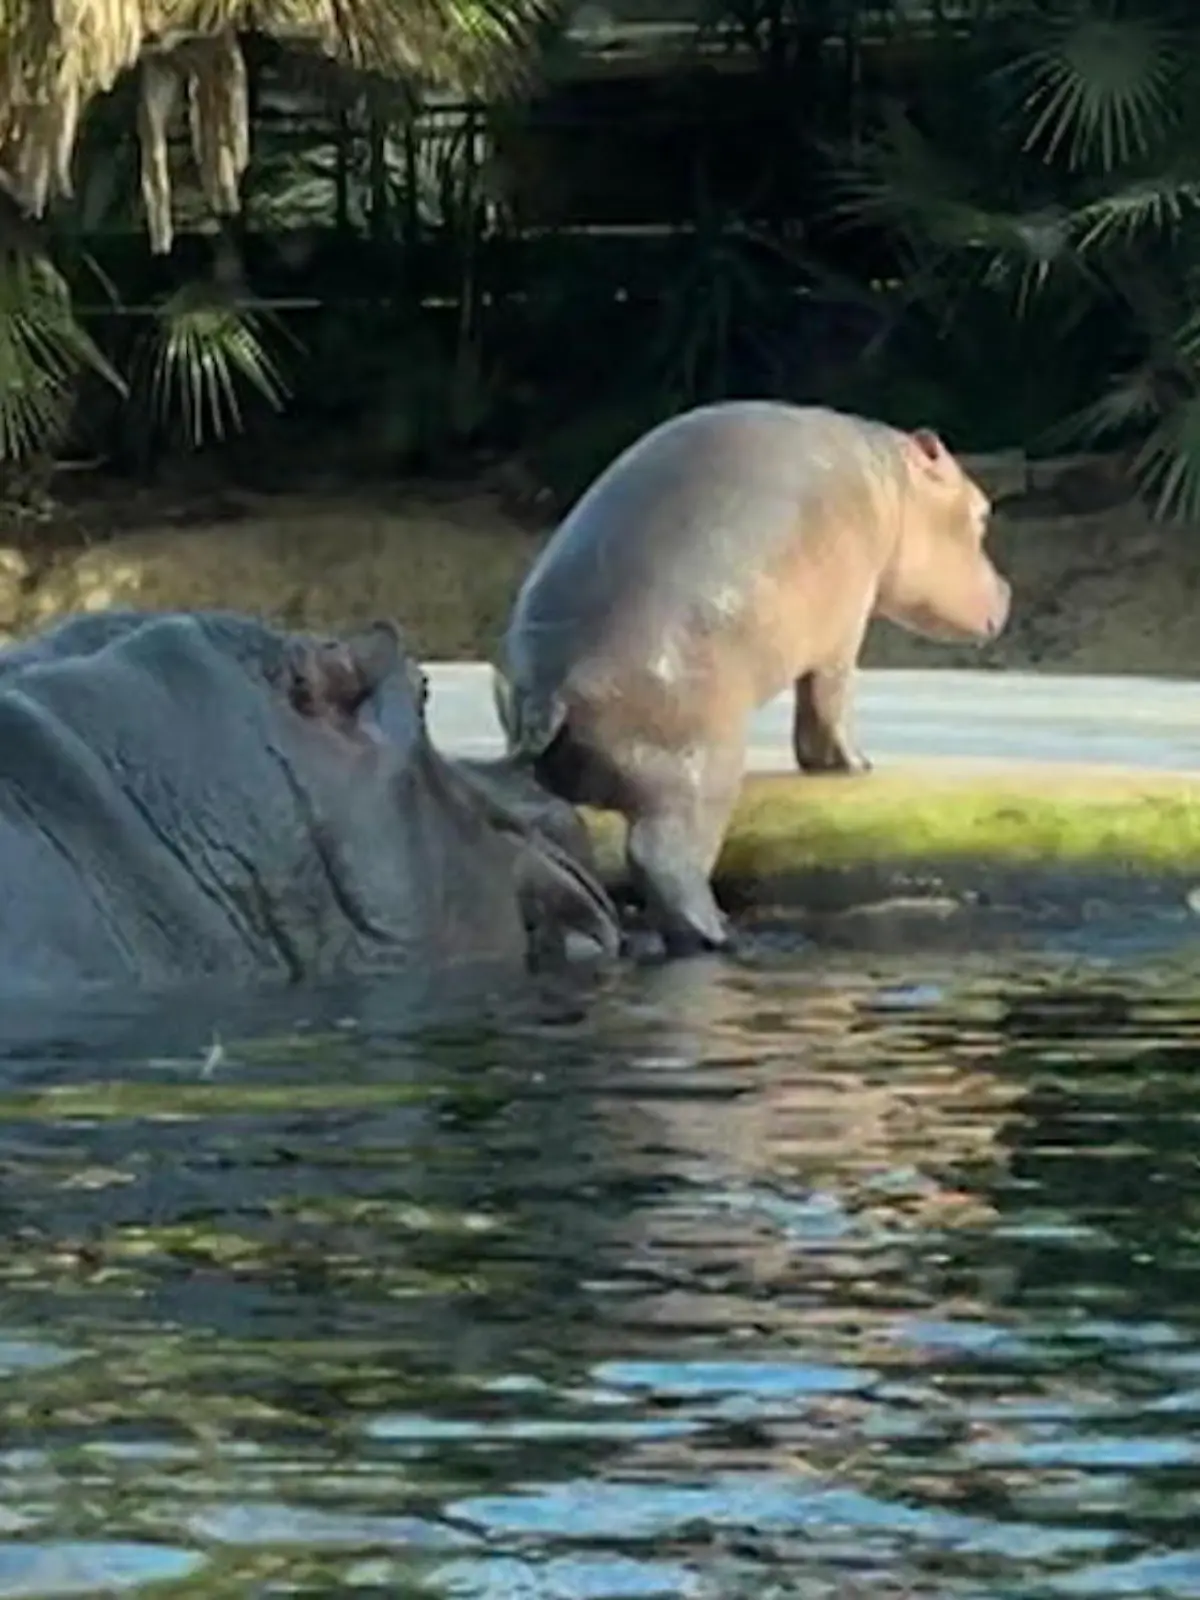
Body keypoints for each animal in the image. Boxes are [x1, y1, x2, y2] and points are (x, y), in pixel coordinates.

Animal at [494, 400, 1011, 956]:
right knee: (664, 859)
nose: (1007, 590)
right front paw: (856, 766)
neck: (893, 486)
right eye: (981, 513)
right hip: (700, 772)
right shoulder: (844, 626)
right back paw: (718, 936)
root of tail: (551, 688)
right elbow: (829, 699)